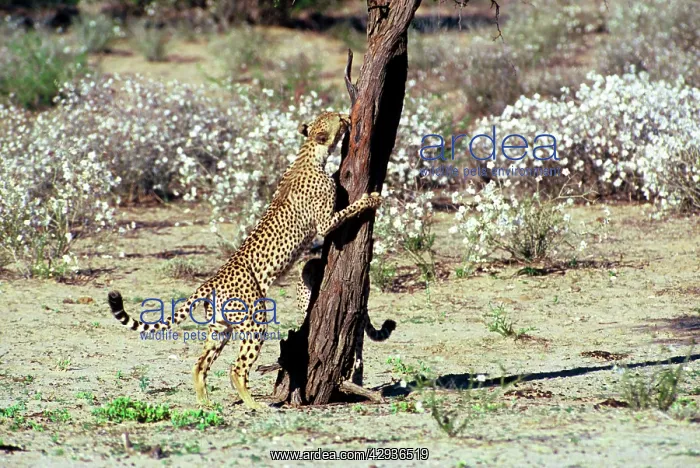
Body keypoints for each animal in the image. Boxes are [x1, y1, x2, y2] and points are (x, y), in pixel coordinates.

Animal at [108, 111, 382, 410]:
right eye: (337, 119)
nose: (346, 117)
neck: (309, 152)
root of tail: (211, 280)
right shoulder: (324, 223)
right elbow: (347, 211)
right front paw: (370, 199)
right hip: (254, 319)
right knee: (236, 368)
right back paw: (254, 404)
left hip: (221, 326)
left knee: (200, 363)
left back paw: (205, 402)